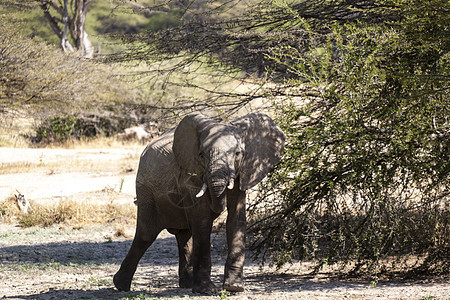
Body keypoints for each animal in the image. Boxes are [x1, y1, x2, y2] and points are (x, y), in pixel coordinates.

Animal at [113, 112, 284, 292]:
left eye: (238, 153)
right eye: (202, 154)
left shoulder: (243, 172)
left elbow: (235, 219)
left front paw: (234, 287)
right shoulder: (191, 174)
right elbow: (202, 222)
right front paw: (207, 290)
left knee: (184, 236)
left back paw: (187, 285)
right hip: (145, 189)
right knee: (146, 235)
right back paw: (121, 285)